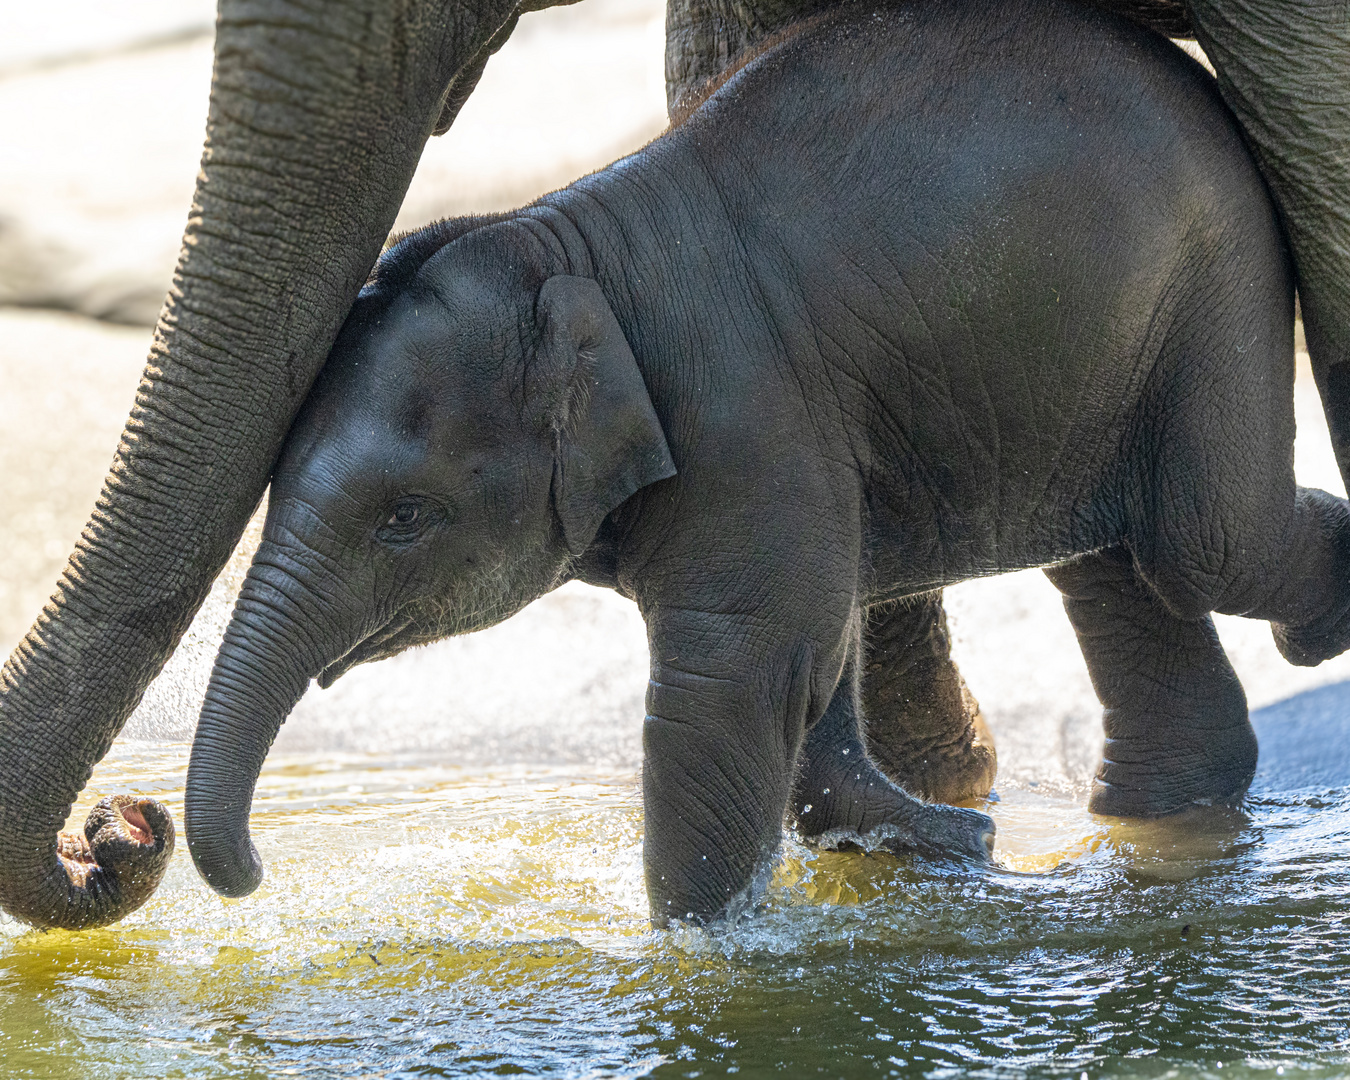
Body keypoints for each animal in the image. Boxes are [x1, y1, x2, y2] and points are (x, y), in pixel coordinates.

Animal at [2, 0, 1350, 928]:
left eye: (405, 522)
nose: (122, 825)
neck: (576, 242)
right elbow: (804, 651)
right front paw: (930, 843)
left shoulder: (747, 420)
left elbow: (736, 668)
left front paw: (702, 961)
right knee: (1137, 537)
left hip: (1214, 273)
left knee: (1205, 535)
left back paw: (1315, 624)